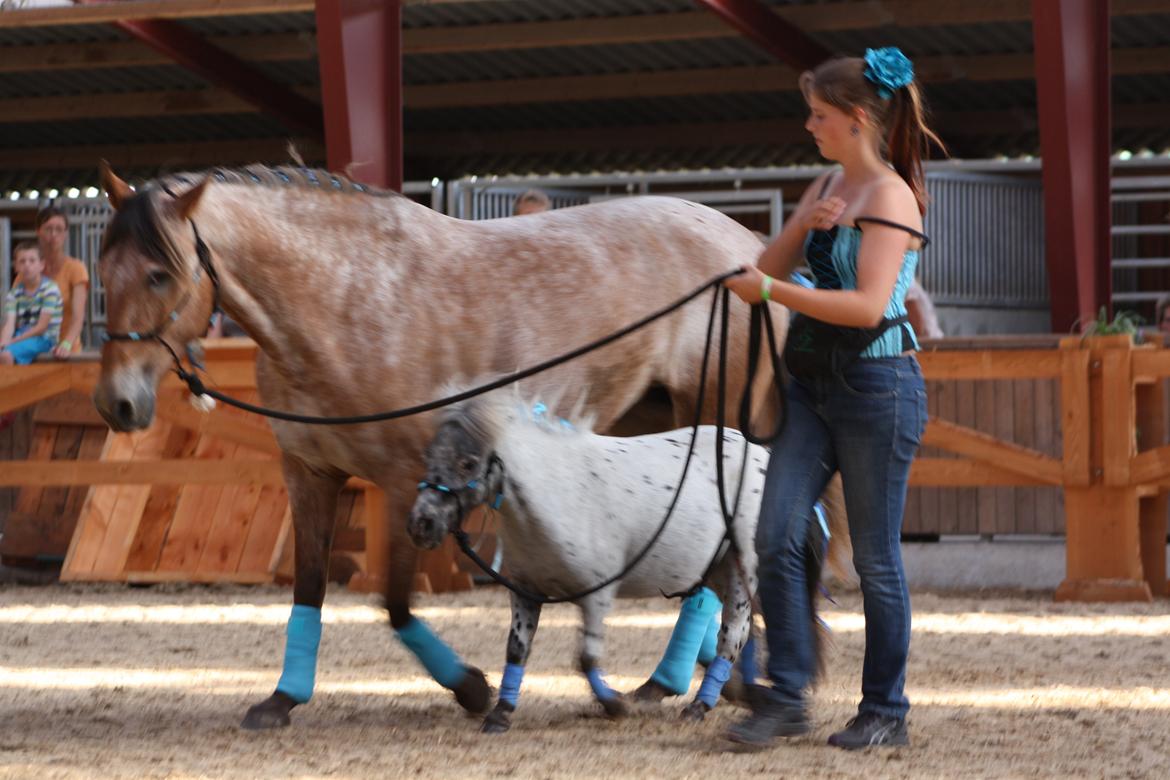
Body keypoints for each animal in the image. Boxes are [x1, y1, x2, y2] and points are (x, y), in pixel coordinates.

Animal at [93, 164, 786, 734]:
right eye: (106, 274)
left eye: (159, 274)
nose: (116, 404)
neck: (344, 299)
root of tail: (751, 250)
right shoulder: (309, 474)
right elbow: (309, 588)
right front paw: (282, 698)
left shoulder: (409, 484)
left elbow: (396, 605)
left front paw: (472, 689)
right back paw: (707, 677)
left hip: (710, 424)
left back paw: (694, 680)